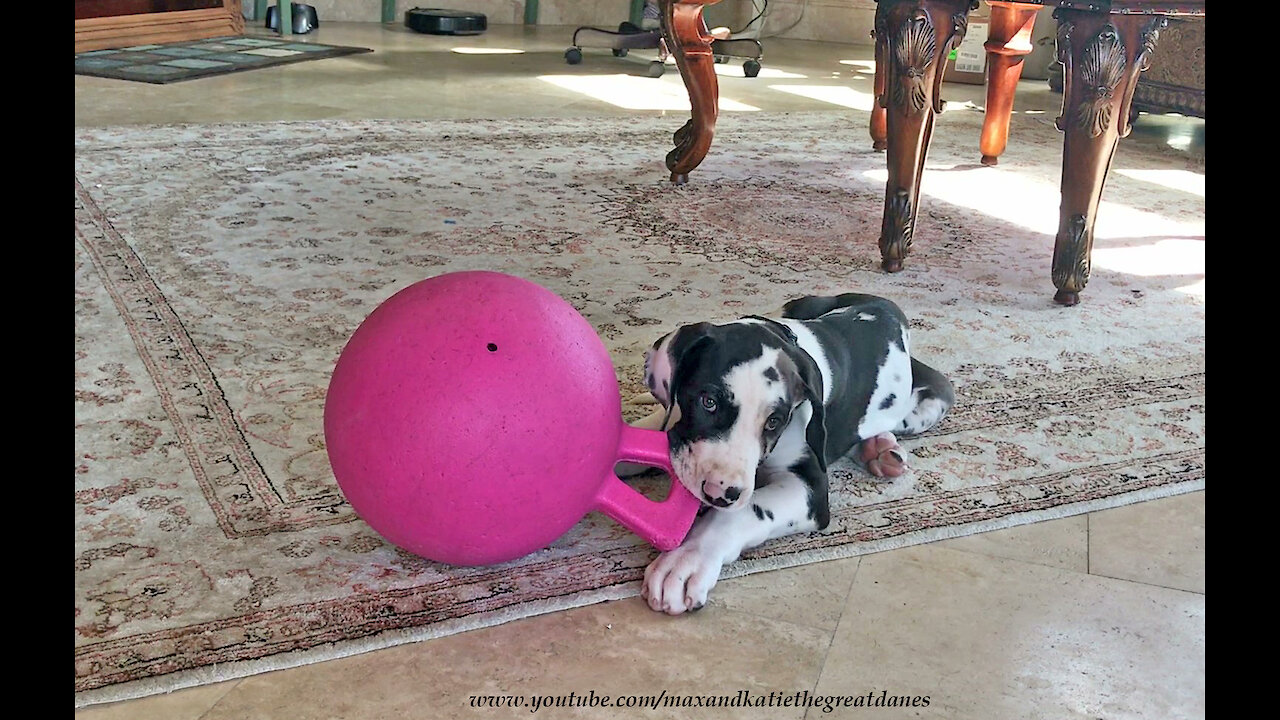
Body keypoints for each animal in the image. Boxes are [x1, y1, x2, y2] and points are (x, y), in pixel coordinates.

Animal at [634, 289, 957, 609]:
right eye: (708, 401)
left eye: (774, 421)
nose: (721, 494)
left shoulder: (810, 487)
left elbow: (742, 512)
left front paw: (687, 559)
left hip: (922, 411)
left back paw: (879, 448)